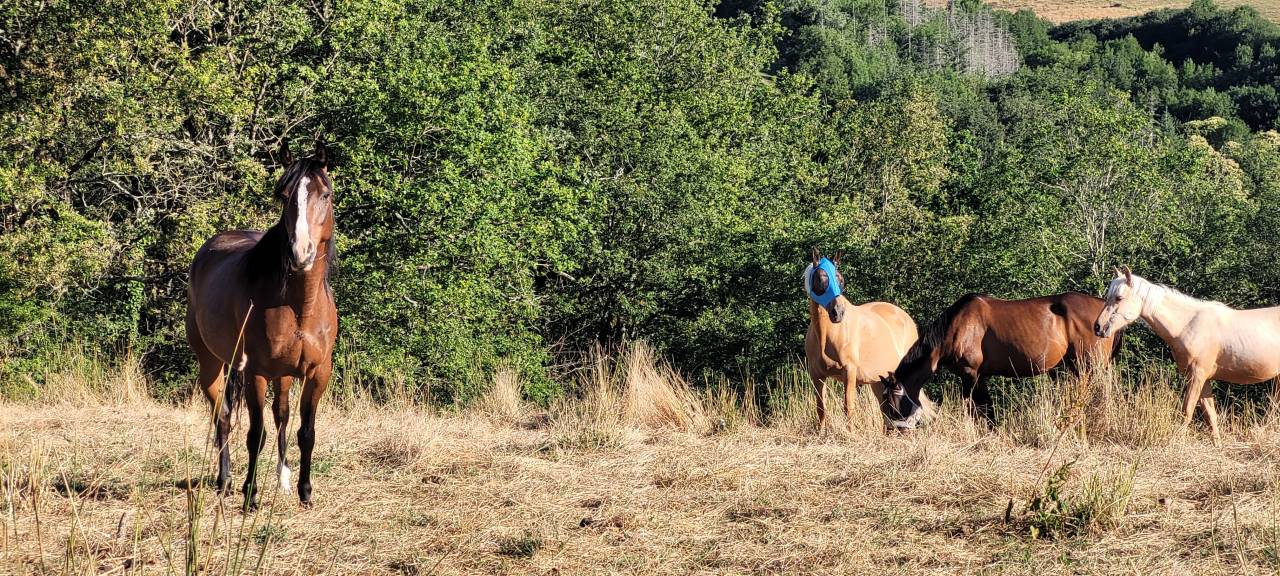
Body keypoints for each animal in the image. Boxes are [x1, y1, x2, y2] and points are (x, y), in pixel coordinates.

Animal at [186, 140, 338, 508]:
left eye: (324, 194)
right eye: (283, 195)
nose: (301, 253)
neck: (300, 306)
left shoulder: (318, 372)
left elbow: (306, 432)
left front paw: (305, 492)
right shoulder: (254, 372)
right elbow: (256, 434)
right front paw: (250, 495)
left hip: (282, 375)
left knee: (281, 415)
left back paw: (282, 478)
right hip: (212, 365)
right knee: (224, 417)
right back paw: (225, 481)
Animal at [803, 250, 920, 432]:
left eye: (840, 278)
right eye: (821, 277)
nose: (838, 312)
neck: (826, 335)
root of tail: (906, 318)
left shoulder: (849, 372)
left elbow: (848, 406)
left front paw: (850, 434)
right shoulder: (816, 375)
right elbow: (821, 408)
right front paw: (821, 434)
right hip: (879, 381)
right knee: (884, 409)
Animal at [882, 291, 1124, 426]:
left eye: (891, 404)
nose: (891, 430)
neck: (956, 325)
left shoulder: (970, 374)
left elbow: (976, 408)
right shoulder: (981, 376)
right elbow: (986, 409)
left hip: (1089, 367)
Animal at [1094, 267, 1280, 443]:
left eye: (1119, 297)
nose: (1098, 327)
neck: (1187, 325)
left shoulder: (1196, 376)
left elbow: (1187, 411)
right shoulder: (1204, 379)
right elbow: (1210, 415)